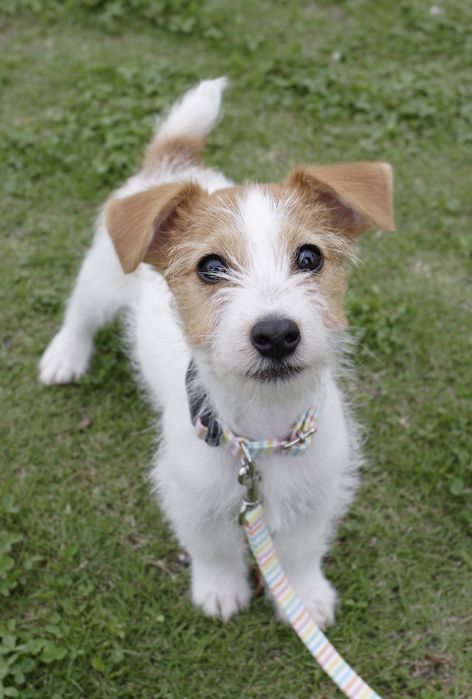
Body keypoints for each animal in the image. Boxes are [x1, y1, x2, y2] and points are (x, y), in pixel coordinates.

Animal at [39, 79, 394, 628]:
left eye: (309, 256)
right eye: (210, 266)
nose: (276, 334)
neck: (260, 436)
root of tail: (174, 161)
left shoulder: (316, 492)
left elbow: (301, 551)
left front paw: (304, 597)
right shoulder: (192, 495)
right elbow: (214, 548)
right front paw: (221, 590)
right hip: (103, 272)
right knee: (81, 309)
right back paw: (65, 355)